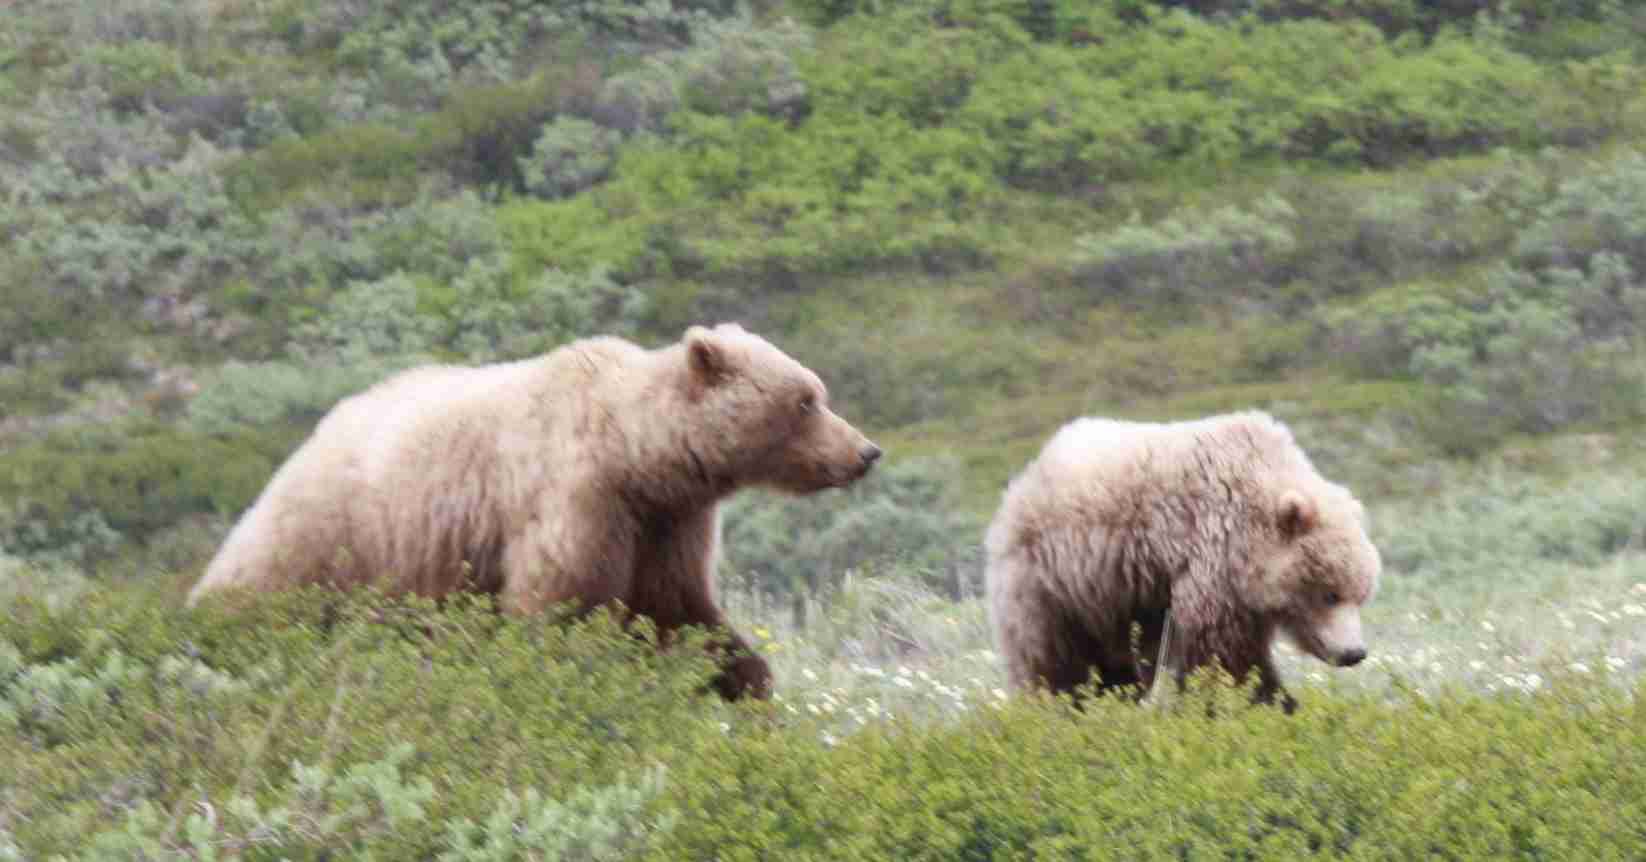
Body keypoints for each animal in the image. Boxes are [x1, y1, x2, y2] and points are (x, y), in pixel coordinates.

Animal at [186, 322, 882, 701]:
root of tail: (311, 435)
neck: (639, 456)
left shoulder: (667, 523)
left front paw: (748, 679)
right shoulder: (576, 499)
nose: (865, 452)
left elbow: (680, 610)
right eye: (805, 400)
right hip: (336, 532)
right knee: (261, 583)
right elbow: (557, 606)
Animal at [983, 410, 1379, 713]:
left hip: (1116, 599)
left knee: (1115, 661)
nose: (1354, 652)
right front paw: (1272, 702)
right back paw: (1059, 705)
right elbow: (1224, 654)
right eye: (1330, 593)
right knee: (1053, 657)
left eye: (1361, 594)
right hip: (1053, 579)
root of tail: (1026, 475)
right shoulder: (1210, 554)